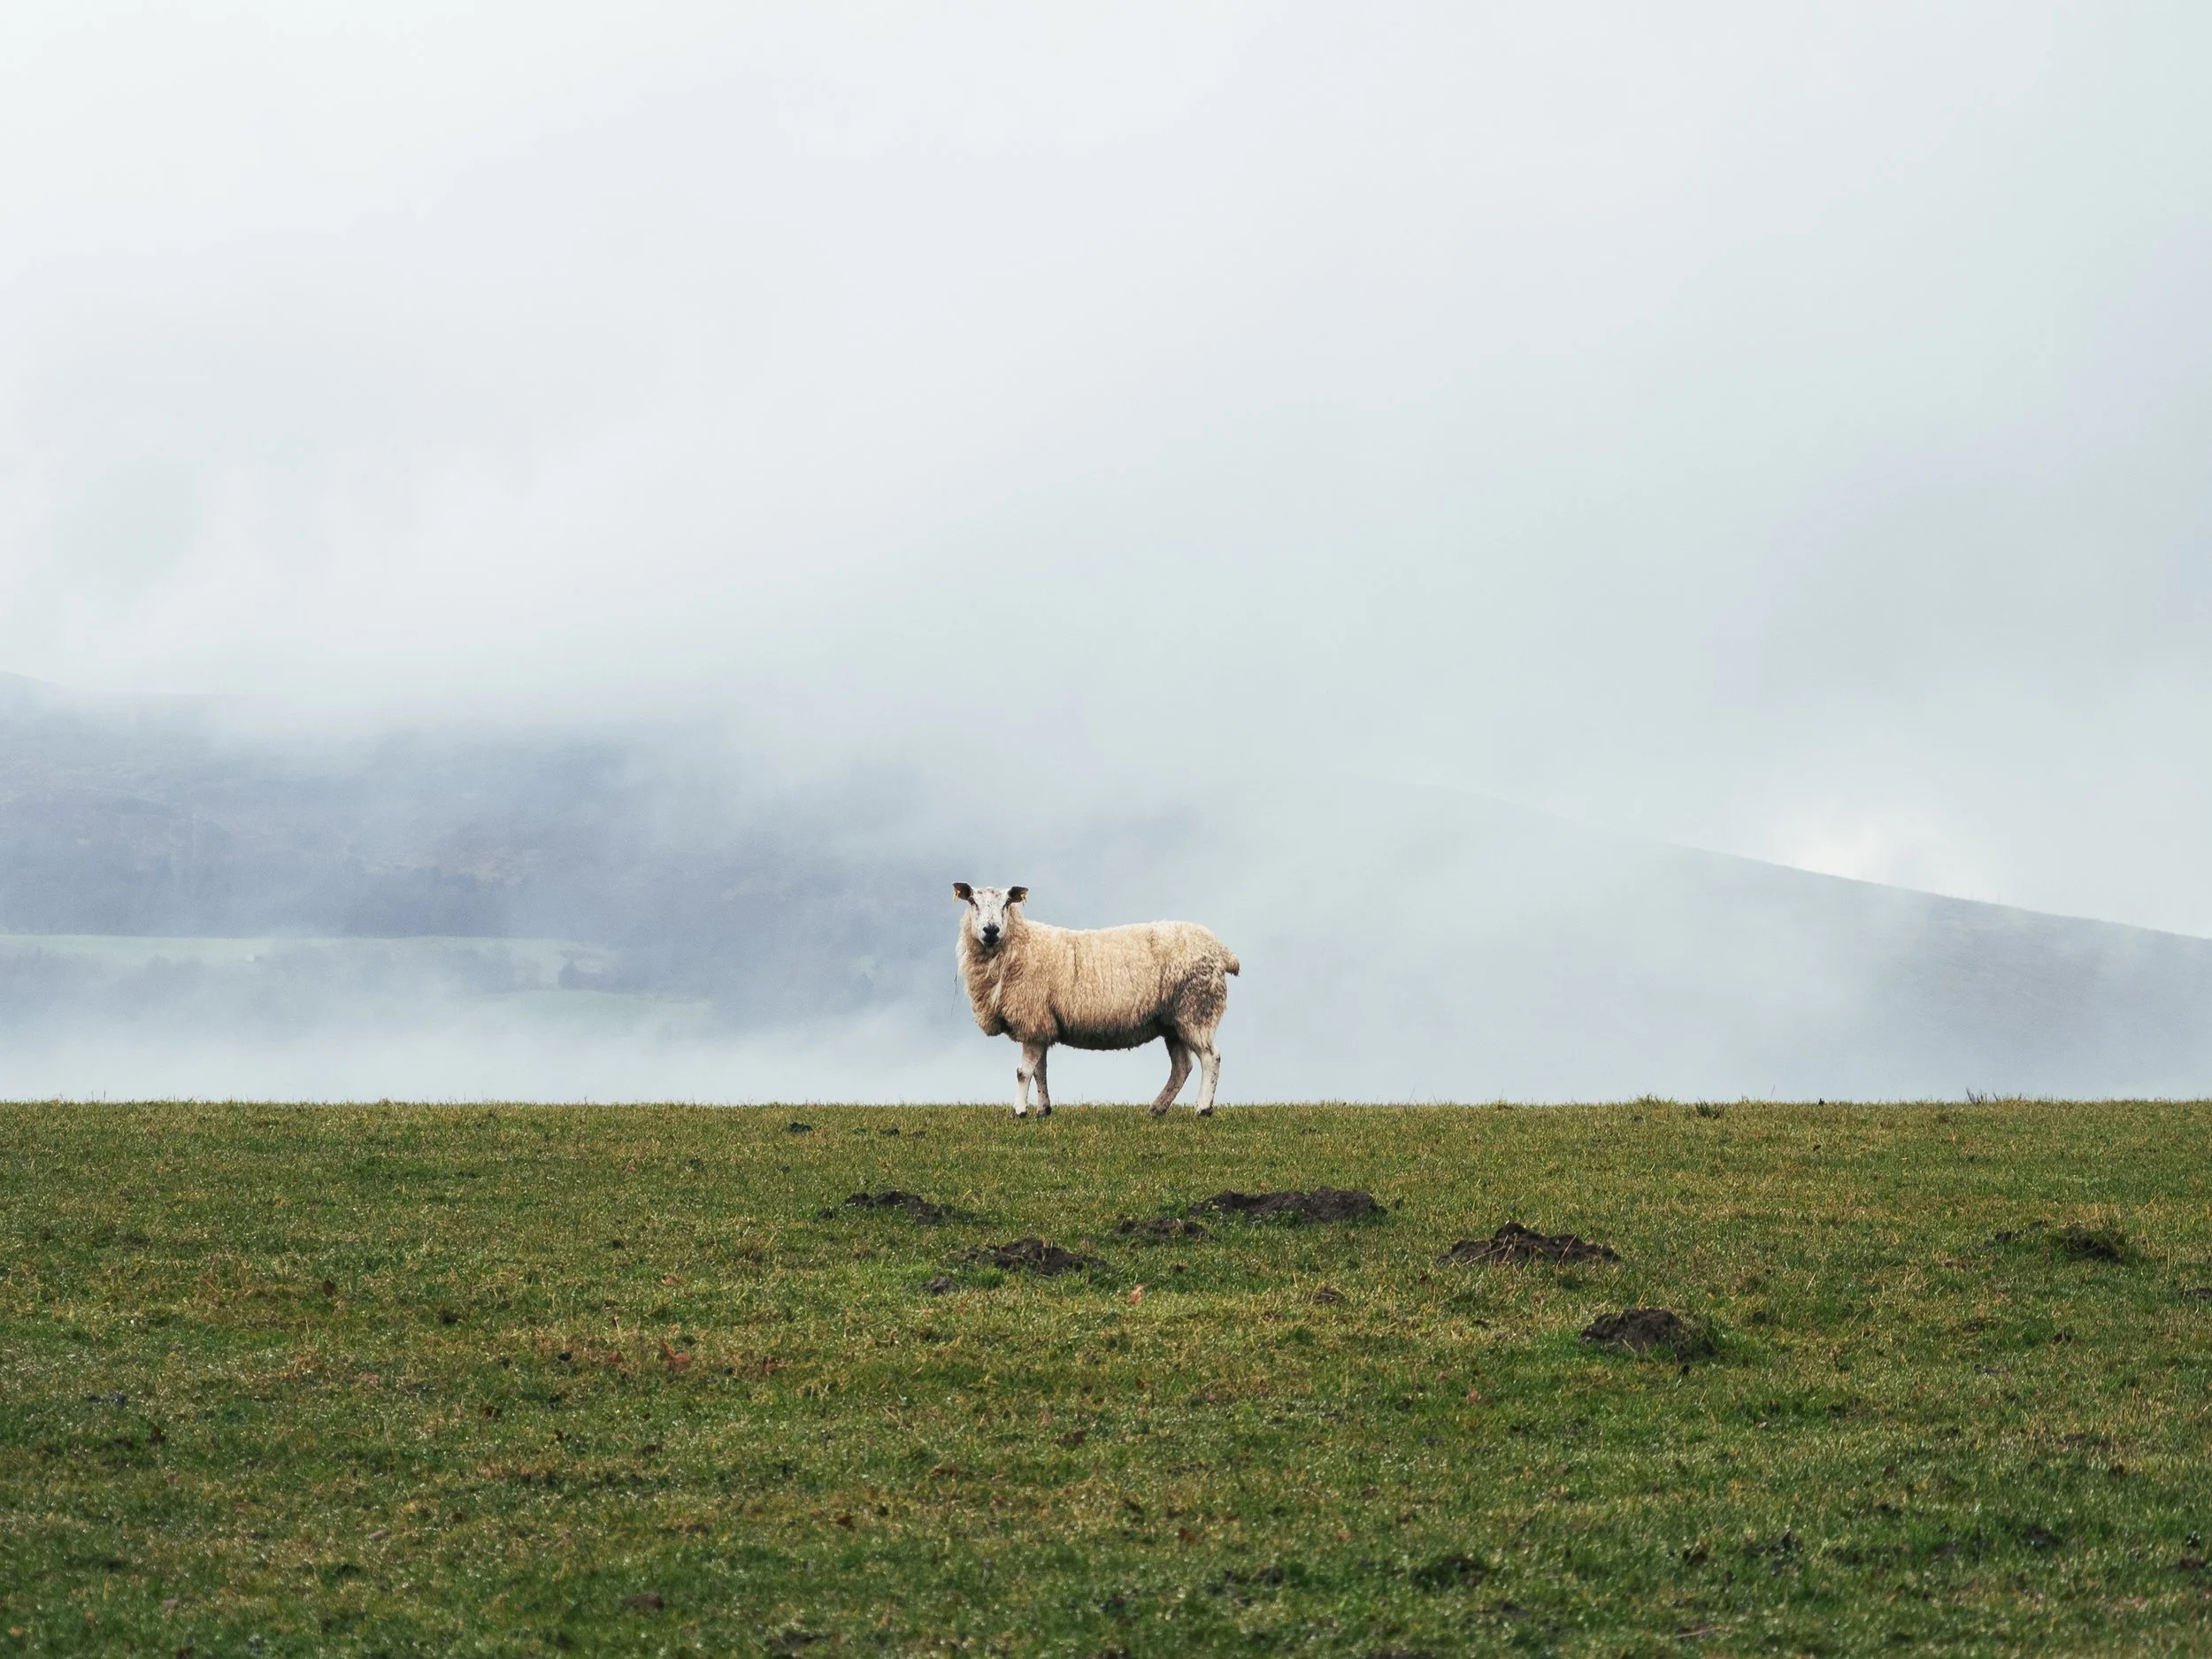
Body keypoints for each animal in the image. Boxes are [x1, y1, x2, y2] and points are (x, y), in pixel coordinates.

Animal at [952, 883, 1240, 1118]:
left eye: (1007, 904)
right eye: (973, 902)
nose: (991, 930)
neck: (1020, 947)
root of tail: (1222, 951)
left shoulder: (1032, 1019)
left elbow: (1023, 1072)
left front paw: (1018, 1112)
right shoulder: (1041, 1024)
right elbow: (1040, 1071)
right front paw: (1043, 1110)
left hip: (1196, 1008)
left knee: (1211, 1058)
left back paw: (1202, 1108)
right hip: (1172, 1021)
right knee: (1182, 1067)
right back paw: (1158, 1108)